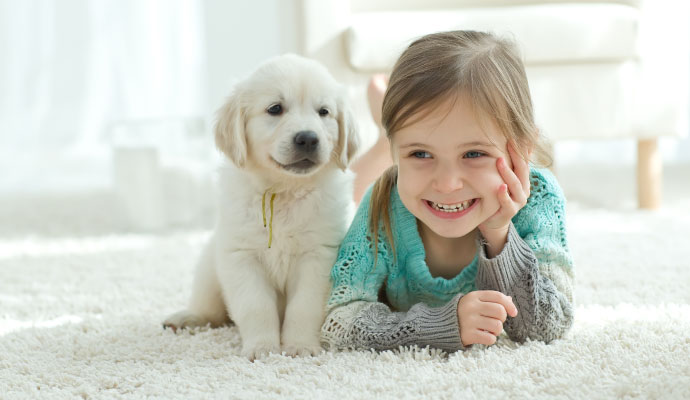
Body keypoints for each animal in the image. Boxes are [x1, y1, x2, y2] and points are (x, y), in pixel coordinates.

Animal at [163, 54, 358, 360]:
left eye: (324, 112)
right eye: (275, 109)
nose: (308, 138)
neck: (283, 190)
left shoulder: (319, 256)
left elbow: (304, 307)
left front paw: (299, 346)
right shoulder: (241, 256)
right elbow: (255, 306)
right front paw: (263, 348)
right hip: (208, 270)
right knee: (210, 311)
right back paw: (186, 318)